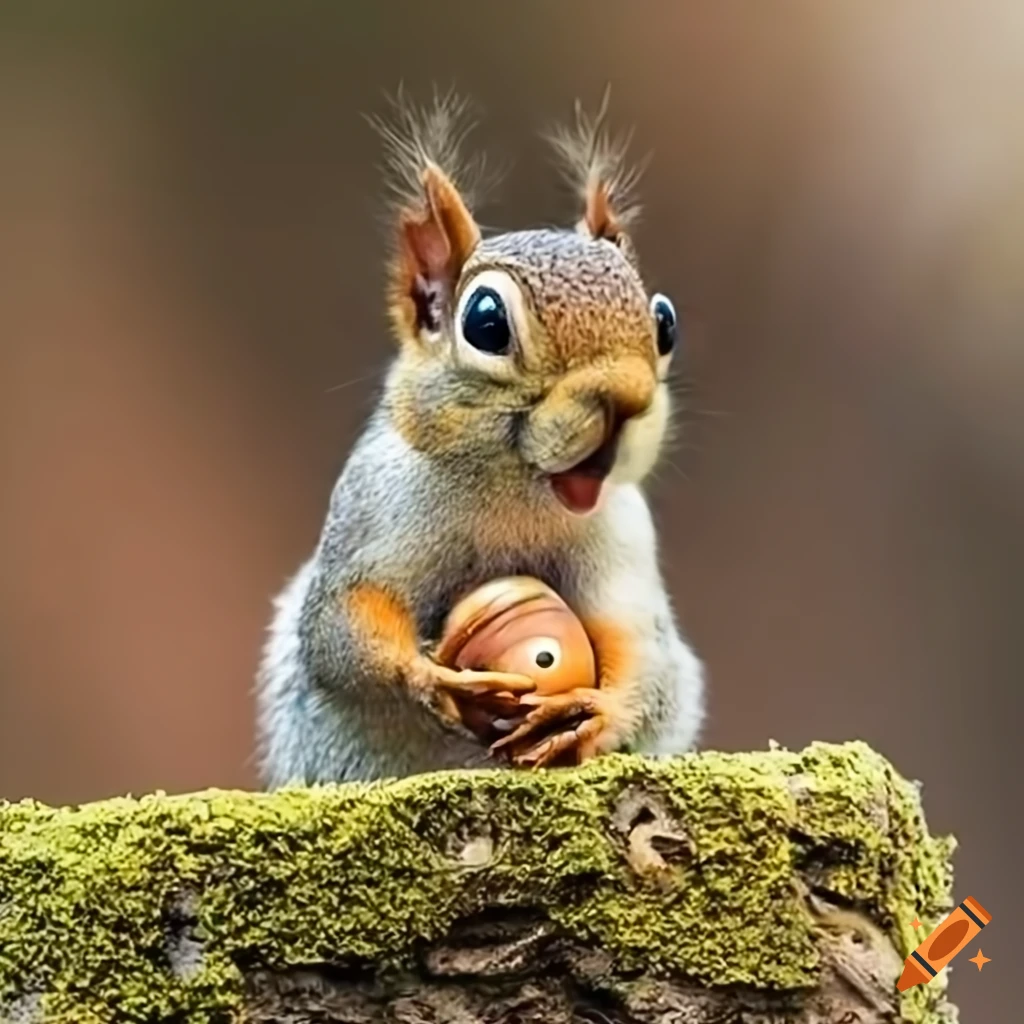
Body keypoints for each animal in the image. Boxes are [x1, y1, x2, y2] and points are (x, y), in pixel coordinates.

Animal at [256, 89, 705, 785]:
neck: (515, 495)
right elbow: (341, 622)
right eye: (486, 323)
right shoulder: (372, 513)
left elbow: (637, 643)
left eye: (665, 322)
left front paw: (597, 712)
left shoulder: (624, 538)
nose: (628, 399)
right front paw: (429, 677)